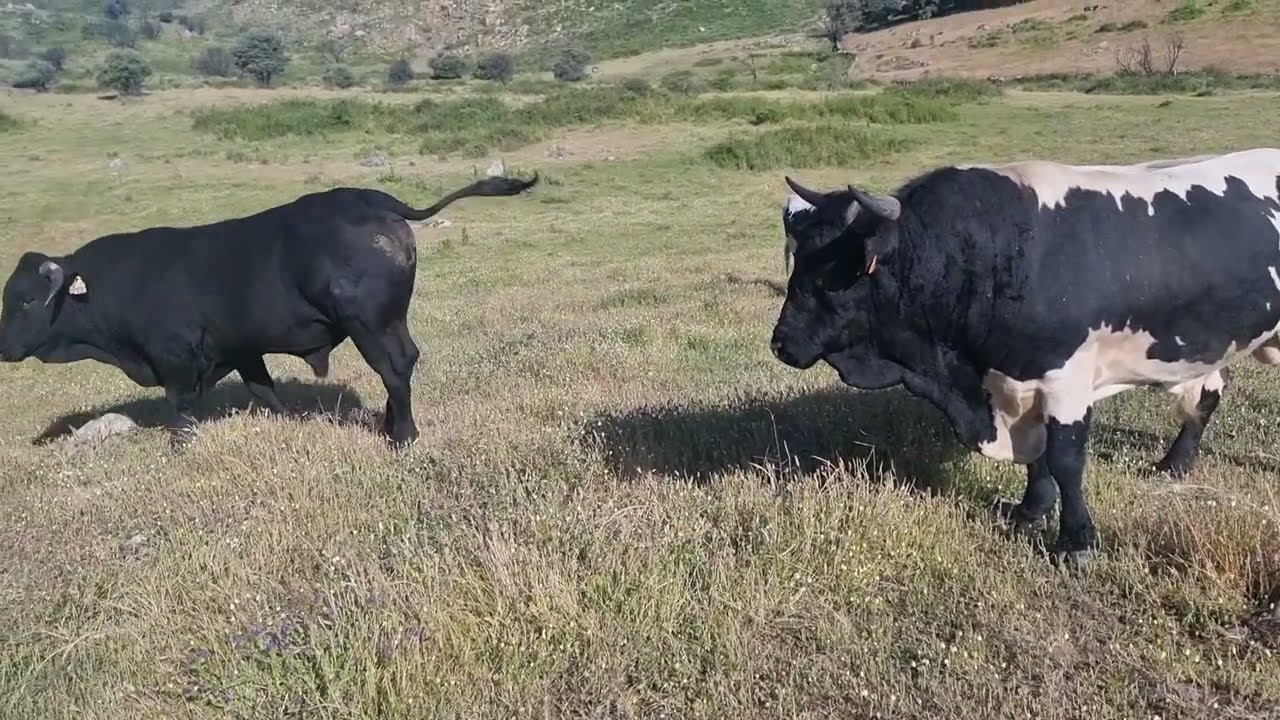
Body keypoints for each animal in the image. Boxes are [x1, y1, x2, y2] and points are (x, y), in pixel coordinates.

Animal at [0, 173, 540, 448]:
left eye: (25, 299)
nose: (3, 348)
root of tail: (370, 199)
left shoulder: (175, 357)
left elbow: (179, 409)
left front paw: (180, 445)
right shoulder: (241, 350)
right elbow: (264, 390)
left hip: (369, 324)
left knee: (395, 368)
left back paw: (402, 435)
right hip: (389, 321)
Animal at [770, 148, 1280, 565]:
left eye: (833, 271)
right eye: (798, 261)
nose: (781, 343)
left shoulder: (1065, 379)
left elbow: (1066, 459)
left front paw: (1076, 543)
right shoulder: (1017, 383)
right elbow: (1036, 455)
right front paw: (1031, 510)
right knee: (1207, 395)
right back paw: (1174, 464)